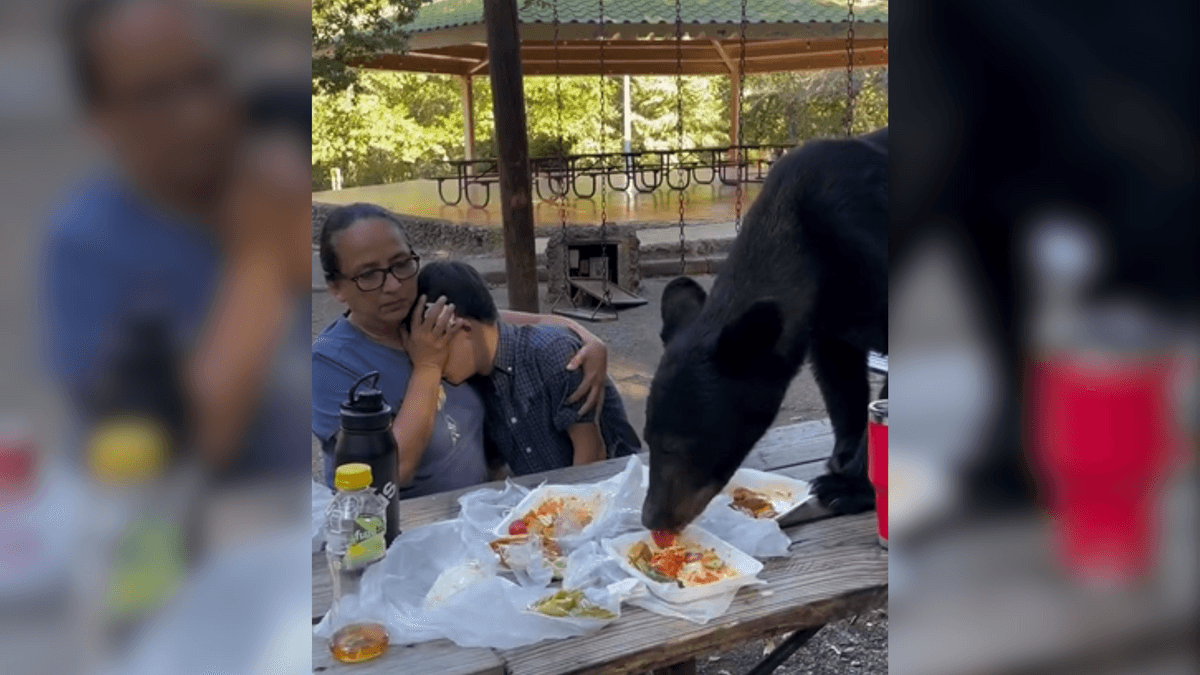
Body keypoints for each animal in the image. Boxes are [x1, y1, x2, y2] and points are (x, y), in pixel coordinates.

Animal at [643, 124, 888, 526]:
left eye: (685, 445)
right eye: (648, 439)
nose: (653, 519)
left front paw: (850, 486)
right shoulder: (831, 321)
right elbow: (840, 380)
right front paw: (845, 453)